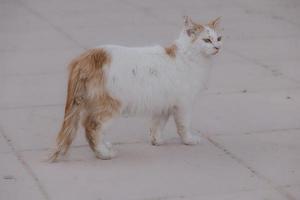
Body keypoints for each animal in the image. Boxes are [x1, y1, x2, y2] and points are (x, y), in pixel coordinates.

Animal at [49, 16, 223, 162]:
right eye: (207, 40)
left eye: (219, 38)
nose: (217, 47)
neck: (188, 56)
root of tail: (87, 57)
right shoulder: (183, 104)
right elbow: (183, 126)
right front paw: (189, 140)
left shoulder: (164, 104)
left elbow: (157, 125)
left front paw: (156, 141)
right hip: (111, 105)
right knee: (92, 127)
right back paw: (104, 153)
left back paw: (105, 147)